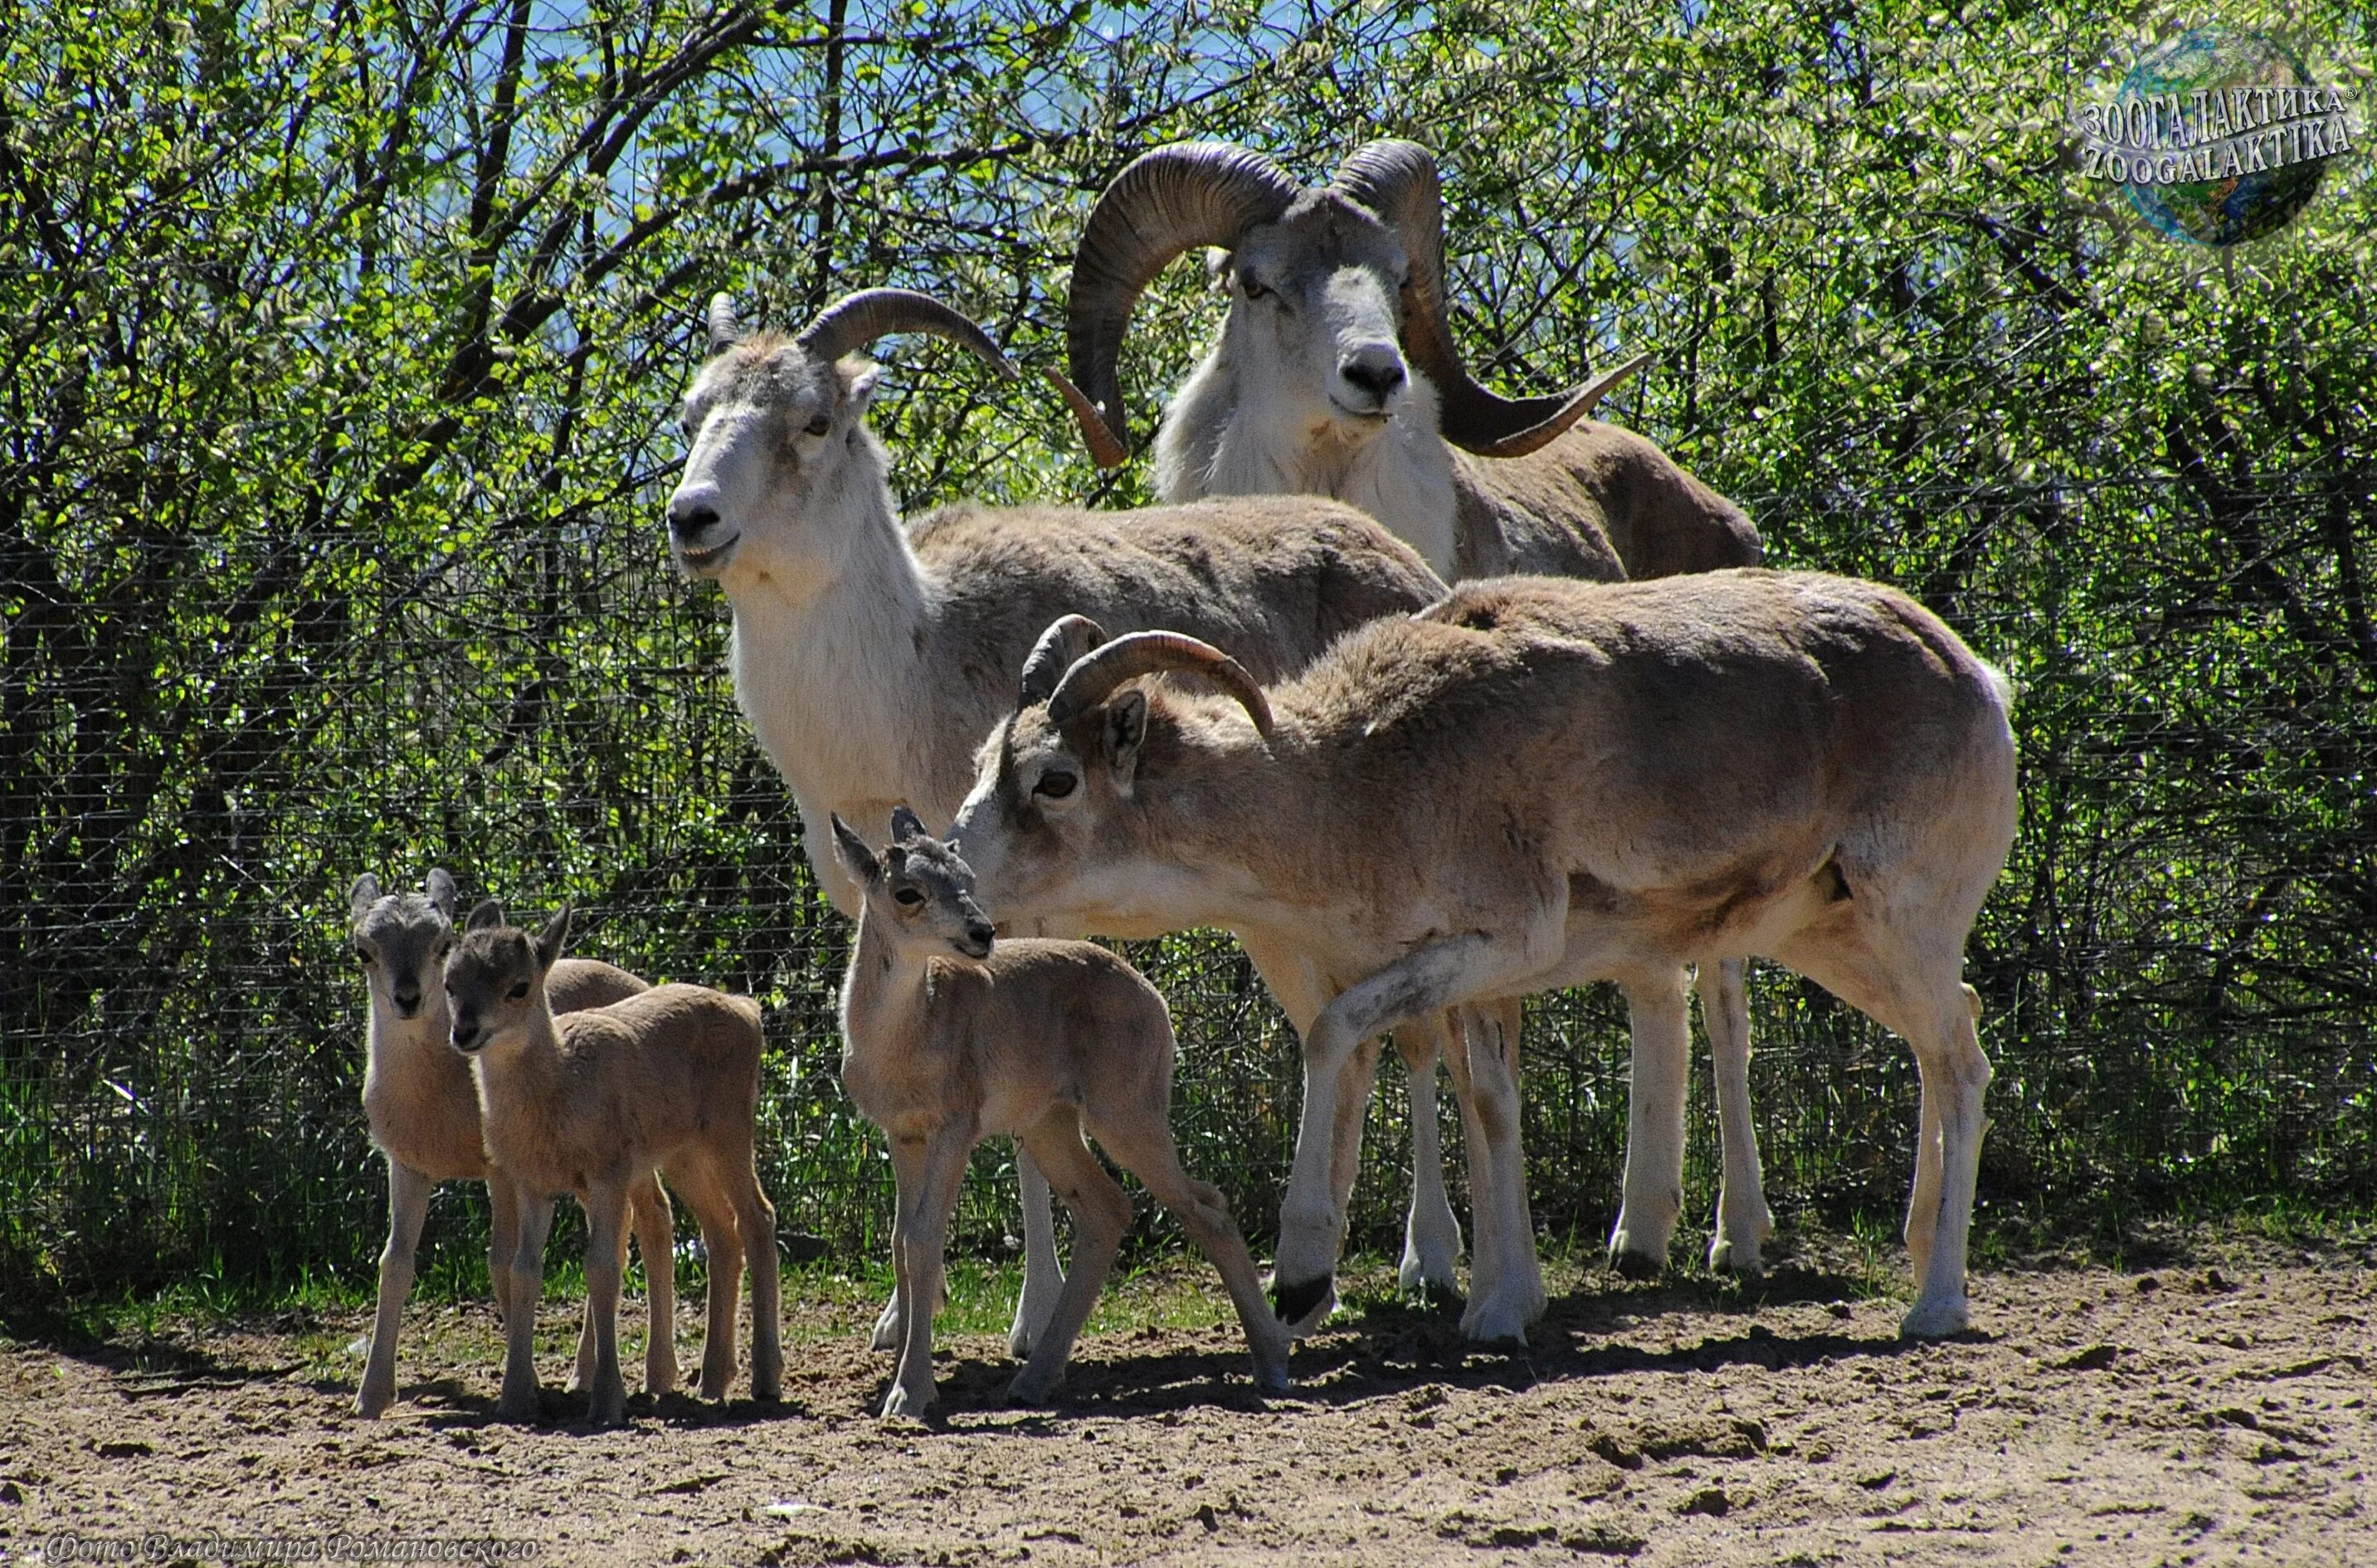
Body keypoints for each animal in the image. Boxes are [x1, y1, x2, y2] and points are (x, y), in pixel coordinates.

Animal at [344, 869, 679, 1425]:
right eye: (363, 950)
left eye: (441, 945)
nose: (408, 997)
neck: (439, 1104)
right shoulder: (406, 1162)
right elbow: (395, 1262)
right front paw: (370, 1396)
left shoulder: (501, 1170)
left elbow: (502, 1262)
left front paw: (527, 1385)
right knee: (622, 1233)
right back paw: (583, 1373)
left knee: (655, 1217)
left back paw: (658, 1372)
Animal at [444, 898, 779, 1425]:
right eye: (450, 981)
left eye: (519, 986)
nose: (466, 1031)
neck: (560, 1091)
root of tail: (750, 1010)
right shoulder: (532, 1181)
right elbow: (523, 1270)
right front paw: (515, 1399)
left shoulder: (608, 1168)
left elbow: (602, 1265)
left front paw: (605, 1401)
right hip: (681, 1151)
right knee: (721, 1229)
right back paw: (710, 1379)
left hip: (729, 1126)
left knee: (758, 1216)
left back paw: (765, 1379)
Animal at [831, 807, 1283, 1425]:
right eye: (908, 891)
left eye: (966, 876)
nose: (981, 933)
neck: (900, 1040)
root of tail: (1153, 998)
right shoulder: (902, 1134)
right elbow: (902, 1242)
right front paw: (901, 1382)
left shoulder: (955, 1128)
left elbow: (925, 1239)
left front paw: (909, 1393)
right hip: (1050, 1125)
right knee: (1108, 1209)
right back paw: (1031, 1380)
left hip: (1126, 1115)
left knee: (1206, 1206)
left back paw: (1273, 1364)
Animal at [955, 575, 2015, 1349]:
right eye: (980, 765)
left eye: (1055, 781)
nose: (948, 873)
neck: (1363, 781)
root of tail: (1978, 678)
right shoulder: (1471, 979)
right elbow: (1489, 1108)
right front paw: (1501, 1308)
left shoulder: (1494, 948)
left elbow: (1336, 1037)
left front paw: (1303, 1278)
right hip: (1839, 943)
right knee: (1945, 1042)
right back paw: (1921, 1246)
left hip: (1902, 923)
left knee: (1963, 1063)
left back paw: (1934, 1308)